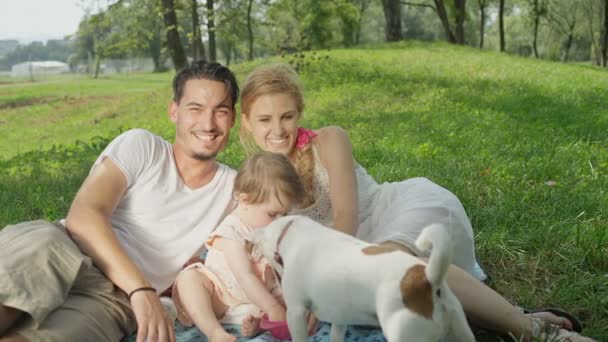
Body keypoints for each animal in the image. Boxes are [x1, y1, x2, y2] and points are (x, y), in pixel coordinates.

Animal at [251, 216, 476, 342]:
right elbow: (336, 335)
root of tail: (427, 278)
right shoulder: (340, 317)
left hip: (404, 334)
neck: (290, 230)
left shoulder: (296, 313)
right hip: (460, 331)